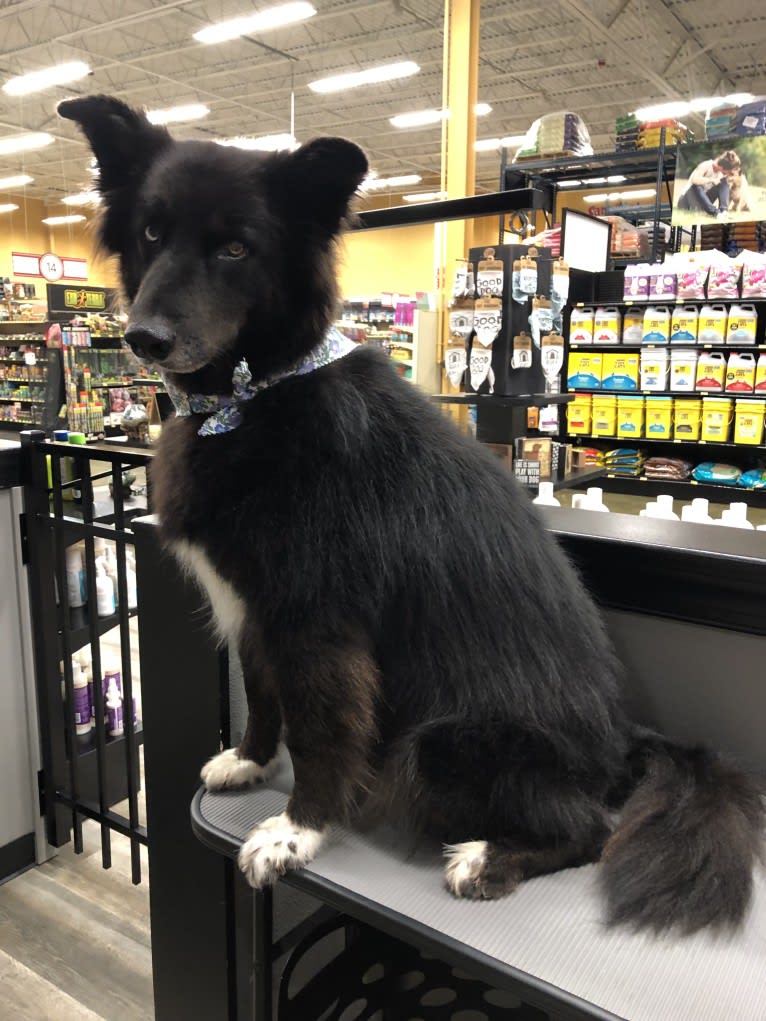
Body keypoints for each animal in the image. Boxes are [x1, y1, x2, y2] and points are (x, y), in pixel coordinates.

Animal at [56, 97, 763, 935]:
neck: (256, 394)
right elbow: (263, 698)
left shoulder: (318, 625)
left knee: (590, 829)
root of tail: (621, 747)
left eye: (234, 248)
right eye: (151, 233)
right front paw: (251, 761)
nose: (142, 337)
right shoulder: (253, 611)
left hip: (434, 747)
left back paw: (486, 859)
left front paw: (296, 830)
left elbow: (321, 735)